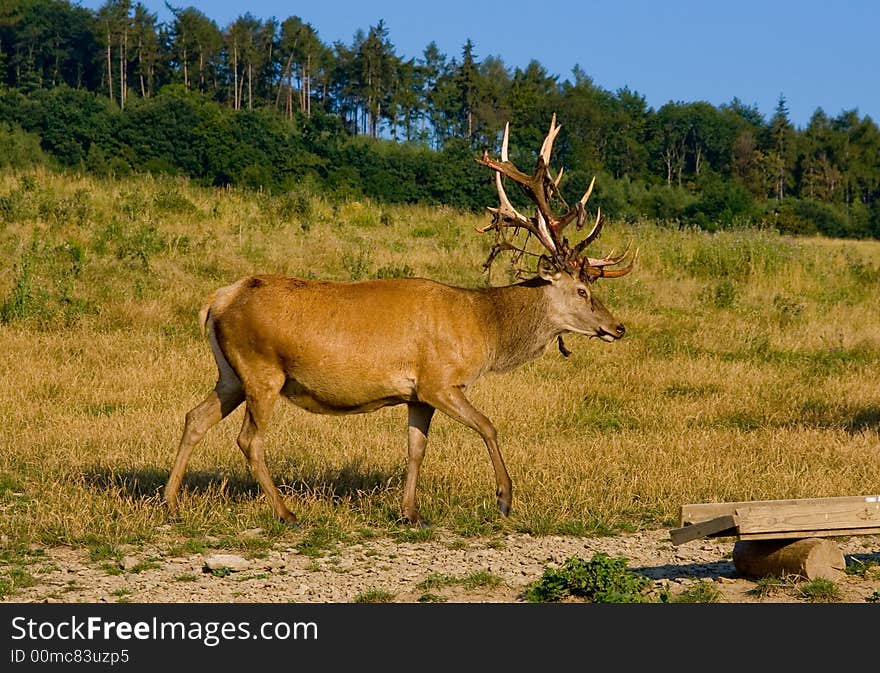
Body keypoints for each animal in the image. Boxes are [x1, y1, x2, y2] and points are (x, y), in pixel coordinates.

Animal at [163, 115, 632, 524]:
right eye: (582, 290)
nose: (618, 327)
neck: (482, 327)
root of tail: (217, 300)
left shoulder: (417, 395)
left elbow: (416, 448)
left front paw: (410, 512)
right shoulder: (439, 380)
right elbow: (488, 426)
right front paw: (504, 498)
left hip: (231, 373)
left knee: (194, 417)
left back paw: (171, 504)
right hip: (262, 370)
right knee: (249, 439)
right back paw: (285, 513)